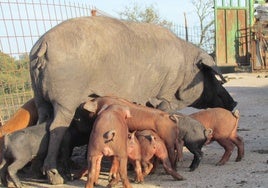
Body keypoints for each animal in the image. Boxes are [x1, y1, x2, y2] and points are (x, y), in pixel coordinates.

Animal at [29, 16, 237, 184]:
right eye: (212, 77)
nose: (234, 103)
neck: (184, 72)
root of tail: (42, 45)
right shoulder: (165, 93)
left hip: (40, 98)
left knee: (42, 124)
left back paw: (38, 172)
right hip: (65, 99)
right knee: (56, 128)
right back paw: (56, 177)